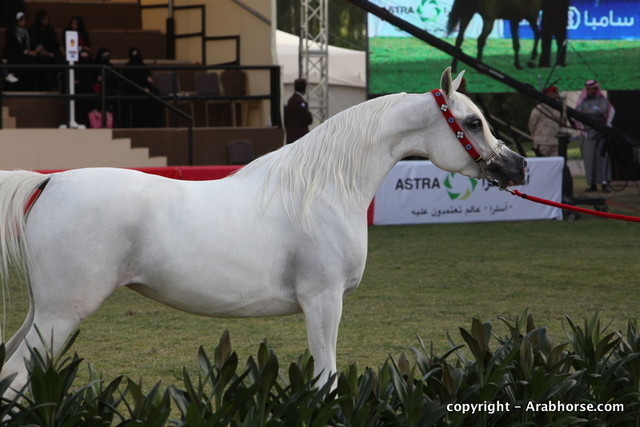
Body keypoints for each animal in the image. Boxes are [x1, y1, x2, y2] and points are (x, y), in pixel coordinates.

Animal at [0, 67, 526, 393]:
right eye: (472, 122)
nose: (517, 167)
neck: (322, 191)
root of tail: (48, 182)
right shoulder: (322, 301)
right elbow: (326, 379)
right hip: (61, 314)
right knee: (17, 373)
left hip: (42, 311)